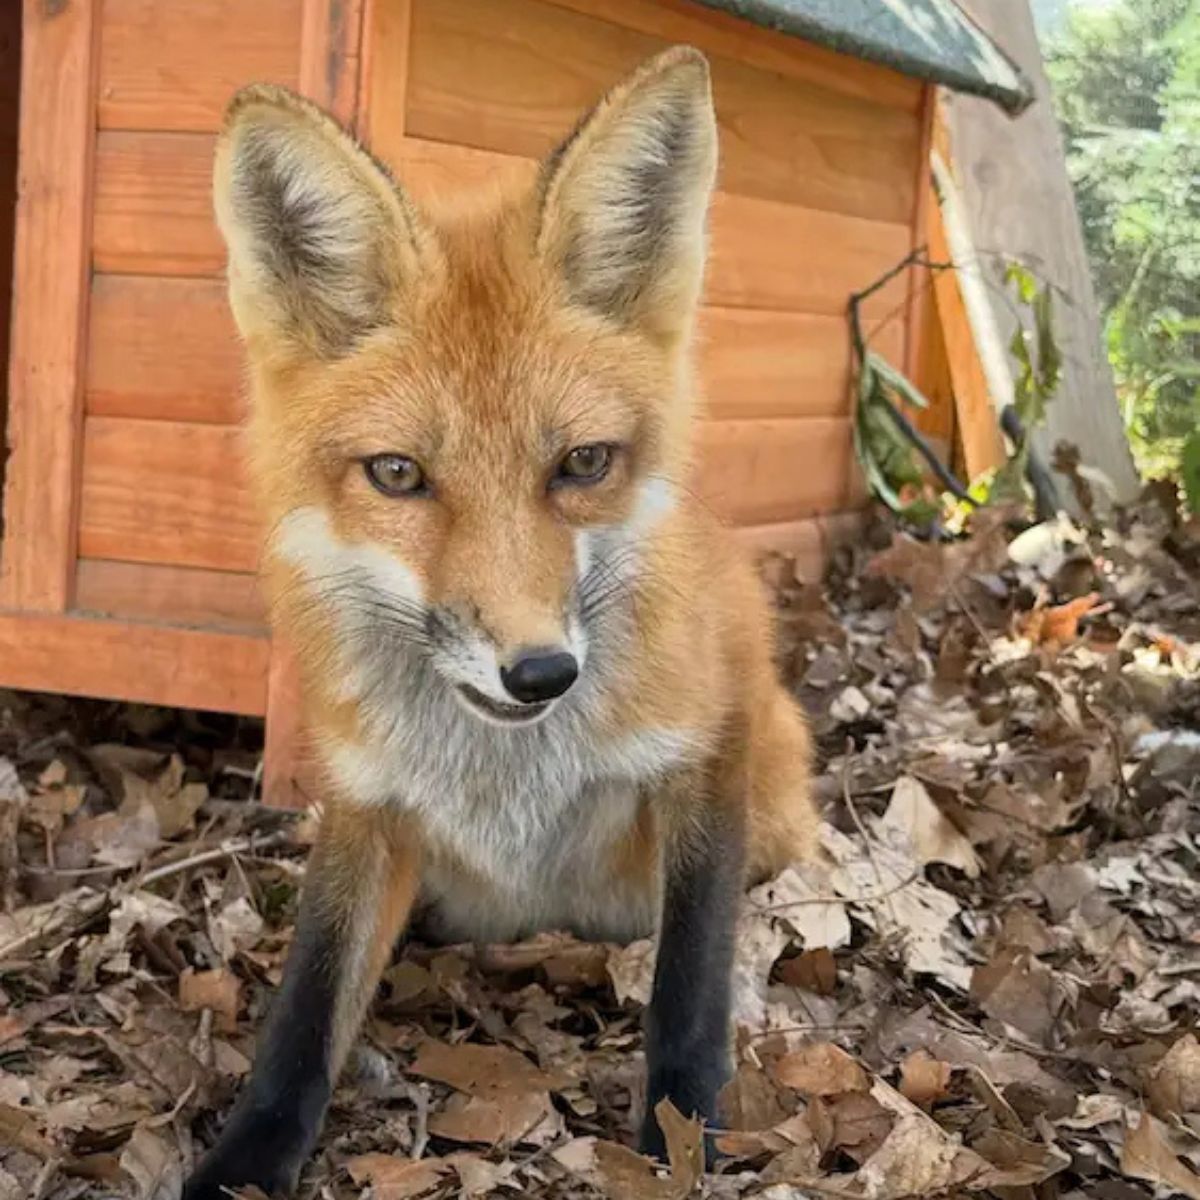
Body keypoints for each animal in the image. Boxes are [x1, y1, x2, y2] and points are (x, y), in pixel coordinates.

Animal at [184, 46, 817, 1199]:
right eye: (398, 475)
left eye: (582, 464)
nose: (541, 673)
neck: (507, 775)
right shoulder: (364, 806)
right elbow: (304, 1011)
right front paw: (243, 1163)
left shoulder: (706, 753)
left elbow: (690, 982)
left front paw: (685, 1134)